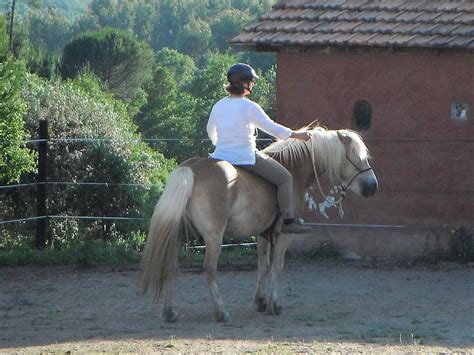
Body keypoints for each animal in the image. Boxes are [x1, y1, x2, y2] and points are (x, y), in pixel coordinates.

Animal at [138, 127, 378, 322]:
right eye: (357, 156)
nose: (372, 186)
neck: (293, 168)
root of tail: (191, 168)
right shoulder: (283, 235)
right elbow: (278, 267)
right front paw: (275, 304)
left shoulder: (262, 233)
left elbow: (263, 267)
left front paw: (260, 301)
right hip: (214, 236)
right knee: (209, 269)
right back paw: (221, 312)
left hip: (179, 235)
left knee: (170, 265)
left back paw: (169, 312)